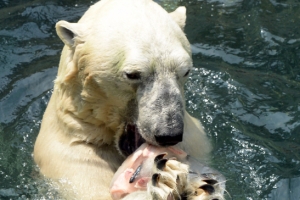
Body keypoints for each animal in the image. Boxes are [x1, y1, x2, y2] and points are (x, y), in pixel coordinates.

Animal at [34, 0, 213, 199]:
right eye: (132, 74)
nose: (169, 134)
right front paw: (166, 179)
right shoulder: (72, 157)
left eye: (185, 71)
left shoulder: (193, 141)